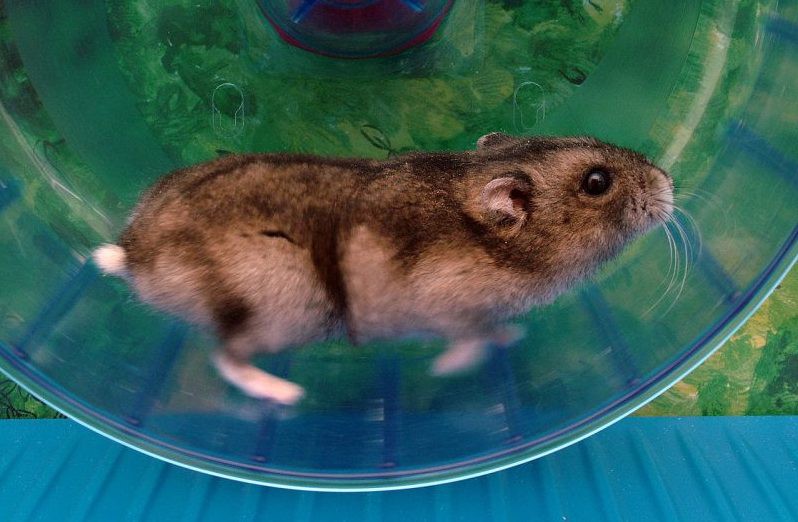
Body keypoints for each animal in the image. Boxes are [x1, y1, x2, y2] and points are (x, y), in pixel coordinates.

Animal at [93, 133, 673, 405]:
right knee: (226, 358)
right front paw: (447, 369)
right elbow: (471, 340)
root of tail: (132, 251)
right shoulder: (449, 307)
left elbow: (493, 330)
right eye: (597, 183)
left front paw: (512, 335)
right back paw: (288, 394)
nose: (669, 182)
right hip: (279, 310)